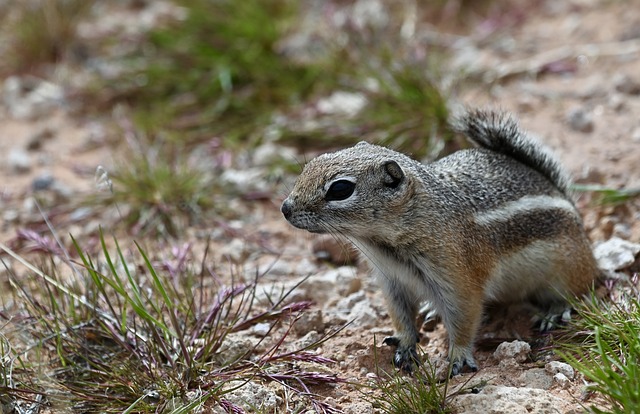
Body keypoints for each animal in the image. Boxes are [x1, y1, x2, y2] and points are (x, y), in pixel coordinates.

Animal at [280, 108, 600, 376]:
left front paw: (458, 357)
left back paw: (555, 311)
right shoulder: (392, 281)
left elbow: (464, 318)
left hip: (566, 270)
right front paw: (406, 343)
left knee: (579, 290)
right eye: (311, 164)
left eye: (340, 189)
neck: (384, 245)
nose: (285, 207)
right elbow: (401, 316)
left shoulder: (458, 278)